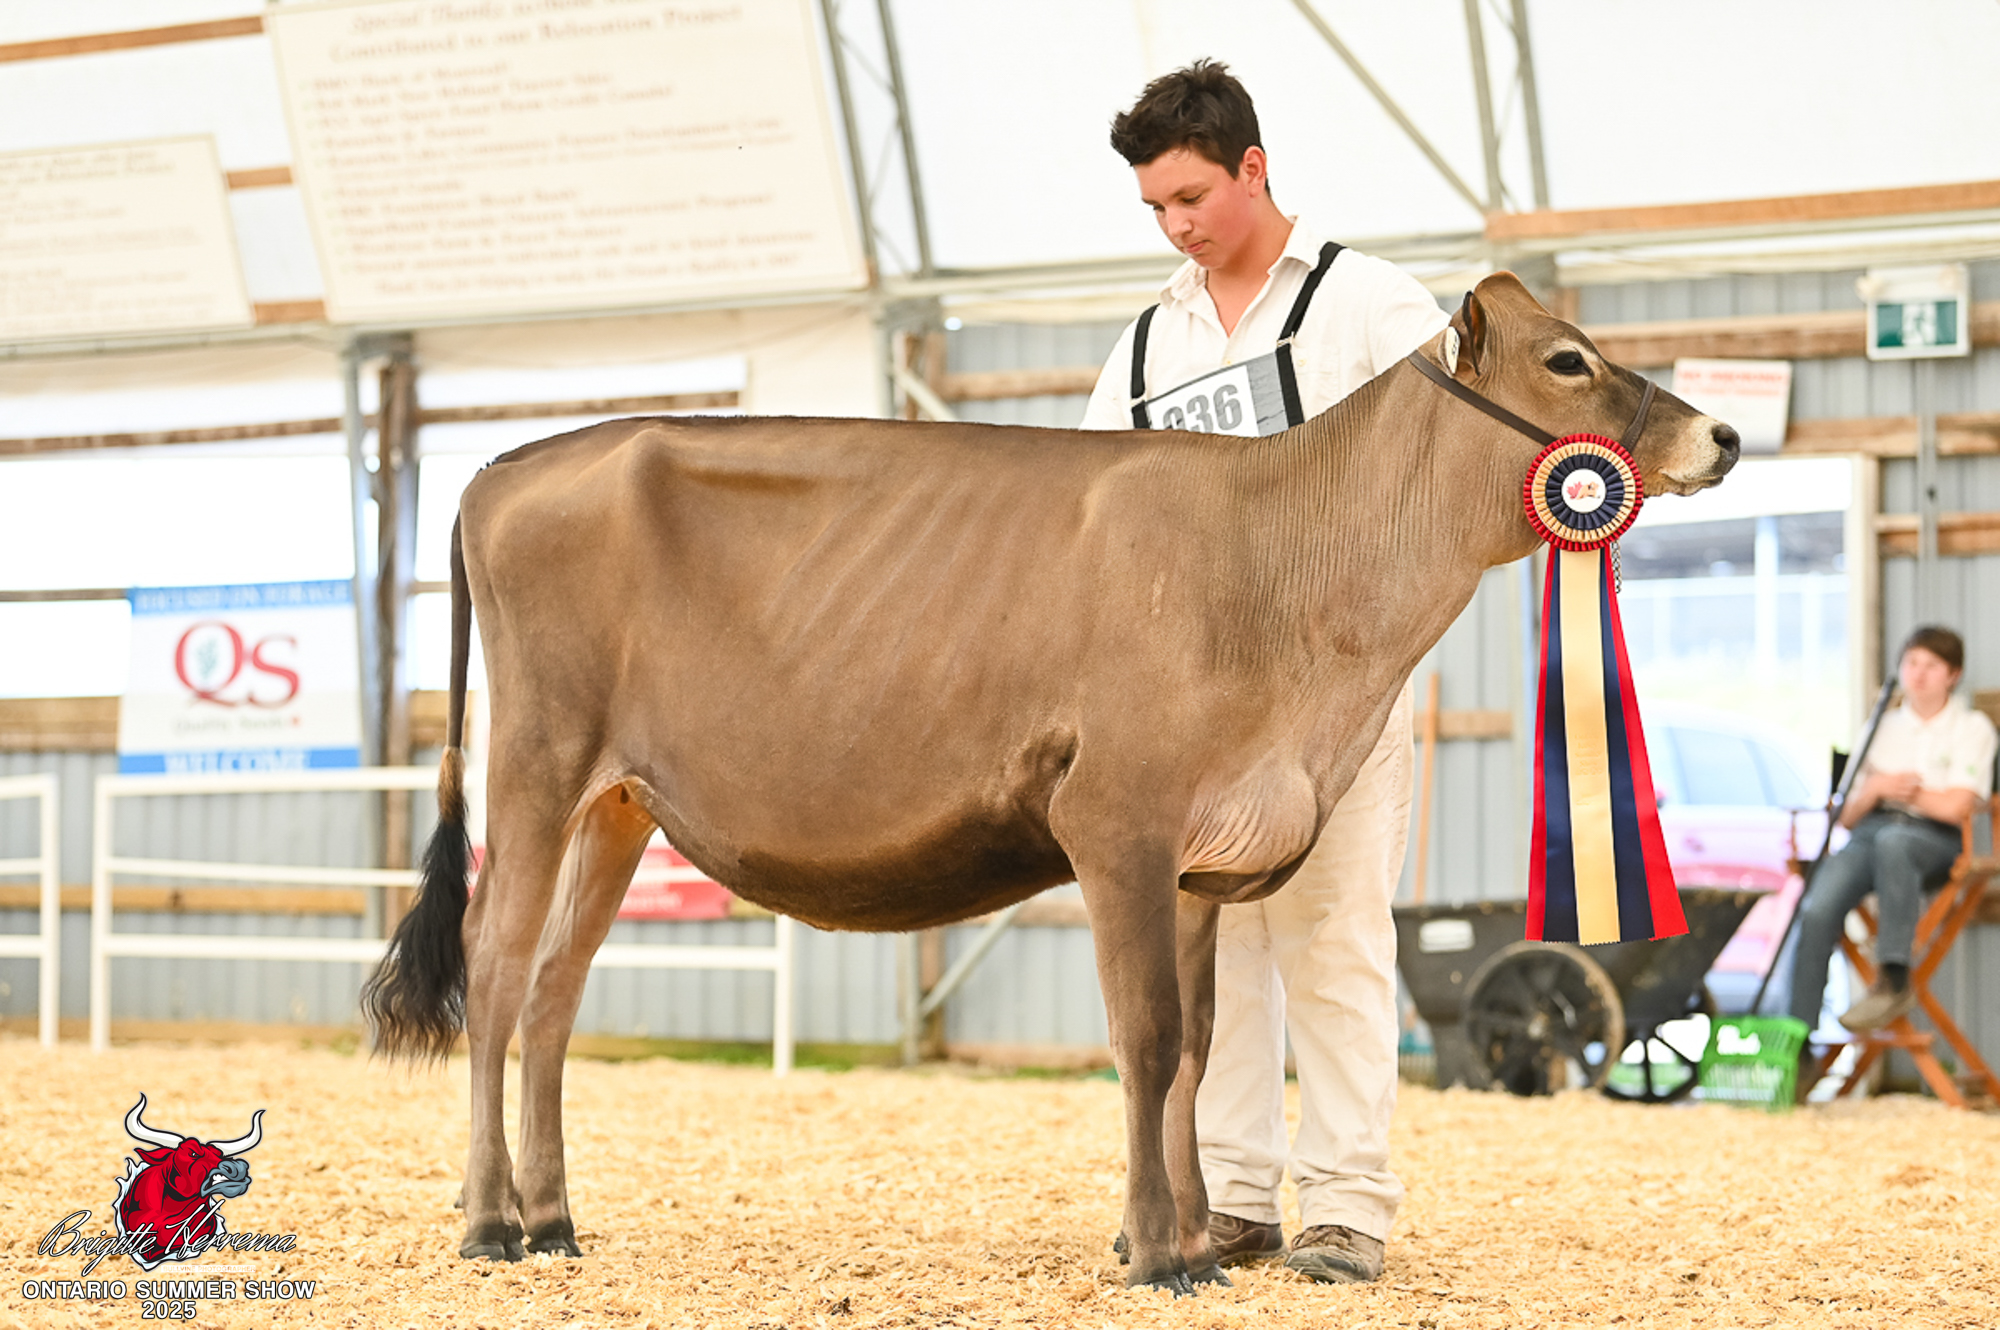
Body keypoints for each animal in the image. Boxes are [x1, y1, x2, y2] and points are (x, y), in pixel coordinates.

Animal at [362, 273, 1737, 1293]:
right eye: (1566, 362)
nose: (1720, 432)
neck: (1280, 573)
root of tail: (508, 464)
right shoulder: (1115, 816)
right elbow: (1147, 1037)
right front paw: (1159, 1256)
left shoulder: (1196, 854)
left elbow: (1194, 1050)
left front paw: (1194, 1237)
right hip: (534, 765)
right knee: (494, 974)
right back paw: (487, 1224)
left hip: (617, 802)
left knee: (554, 994)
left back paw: (554, 1221)